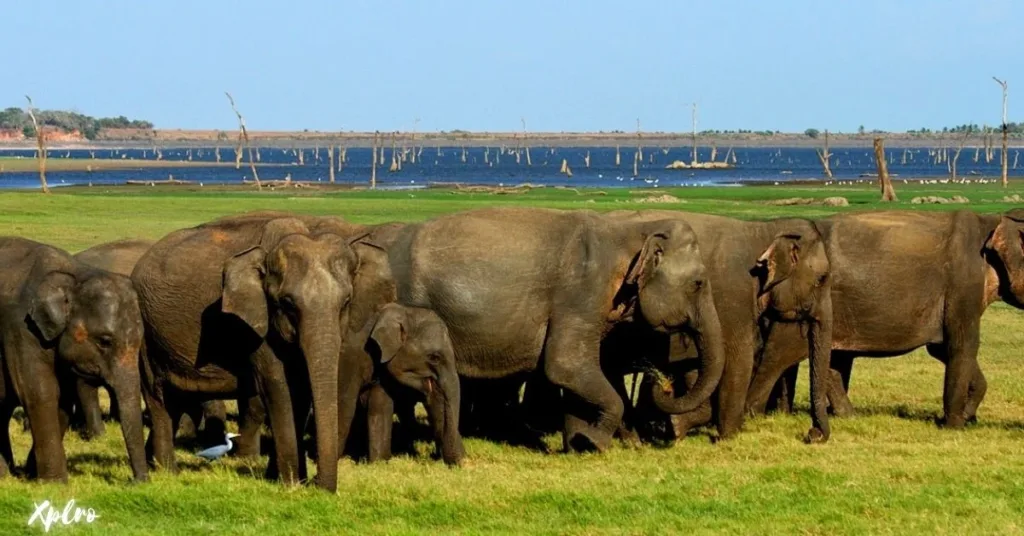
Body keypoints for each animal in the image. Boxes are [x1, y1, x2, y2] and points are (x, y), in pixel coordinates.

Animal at [132, 211, 364, 489]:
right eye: (287, 303)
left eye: (346, 302)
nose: (319, 485)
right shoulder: (253, 324)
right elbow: (279, 388)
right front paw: (290, 485)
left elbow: (301, 389)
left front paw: (281, 478)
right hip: (145, 331)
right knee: (158, 397)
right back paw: (170, 474)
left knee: (175, 399)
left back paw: (156, 465)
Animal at [360, 207, 729, 452]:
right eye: (698, 283)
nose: (662, 383)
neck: (631, 231)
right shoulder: (581, 293)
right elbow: (564, 366)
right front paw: (594, 442)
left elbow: (576, 372)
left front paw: (579, 444)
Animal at [598, 211, 831, 444]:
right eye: (821, 279)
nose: (813, 434)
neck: (762, 229)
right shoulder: (733, 295)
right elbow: (738, 358)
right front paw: (728, 436)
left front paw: (676, 425)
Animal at [749, 210, 1024, 428]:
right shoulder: (963, 283)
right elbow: (962, 345)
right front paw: (953, 426)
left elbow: (941, 348)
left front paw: (968, 416)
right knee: (782, 354)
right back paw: (757, 413)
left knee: (829, 360)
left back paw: (847, 416)